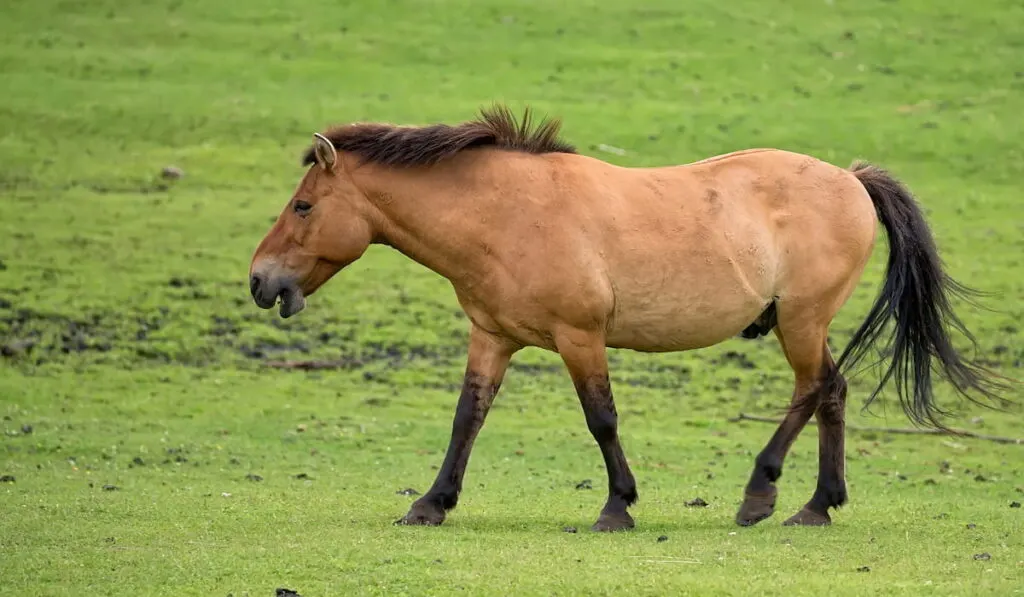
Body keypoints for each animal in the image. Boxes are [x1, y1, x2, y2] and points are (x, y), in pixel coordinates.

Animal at [245, 103, 1007, 532]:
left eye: (304, 206)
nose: (259, 279)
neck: (505, 212)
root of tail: (851, 178)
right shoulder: (492, 338)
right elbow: (468, 418)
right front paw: (432, 503)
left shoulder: (580, 337)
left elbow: (601, 419)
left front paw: (617, 507)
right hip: (804, 327)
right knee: (833, 392)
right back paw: (817, 504)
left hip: (801, 321)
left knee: (815, 390)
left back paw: (761, 493)